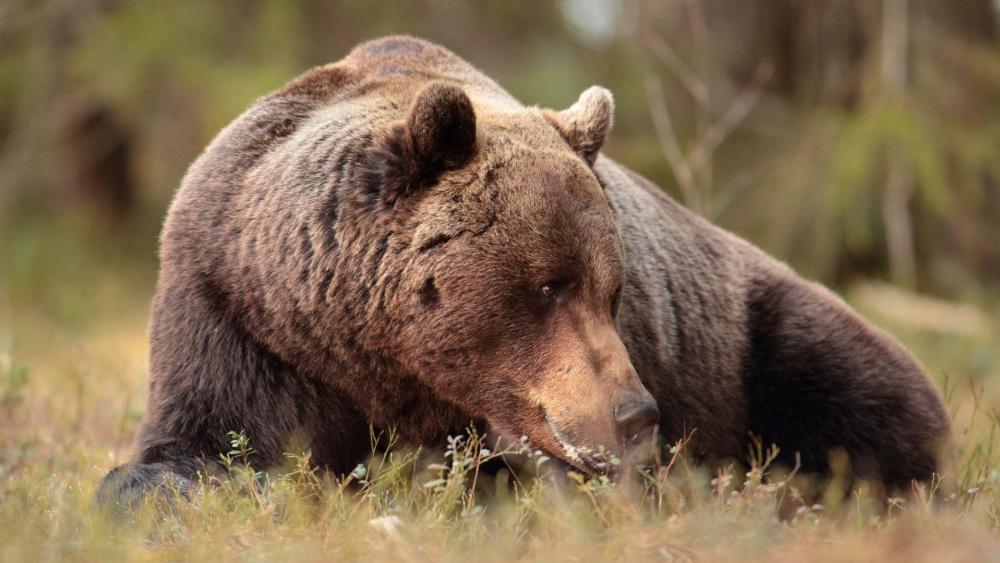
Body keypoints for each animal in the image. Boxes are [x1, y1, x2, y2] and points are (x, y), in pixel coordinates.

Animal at [98, 35, 950, 511]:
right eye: (549, 284)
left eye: (614, 287)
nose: (636, 413)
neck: (371, 350)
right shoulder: (241, 314)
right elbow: (203, 444)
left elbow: (516, 474)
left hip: (751, 332)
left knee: (862, 386)